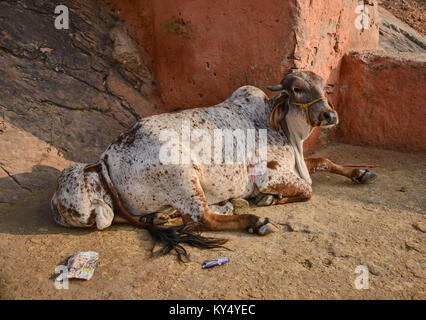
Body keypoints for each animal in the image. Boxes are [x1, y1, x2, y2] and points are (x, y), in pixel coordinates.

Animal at [50, 70, 376, 260]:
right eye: (296, 89)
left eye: (325, 86)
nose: (329, 115)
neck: (283, 126)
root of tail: (106, 158)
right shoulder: (268, 174)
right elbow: (307, 191)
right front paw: (268, 199)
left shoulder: (298, 163)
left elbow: (323, 160)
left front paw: (360, 171)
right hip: (182, 175)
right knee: (203, 219)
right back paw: (255, 220)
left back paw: (164, 217)